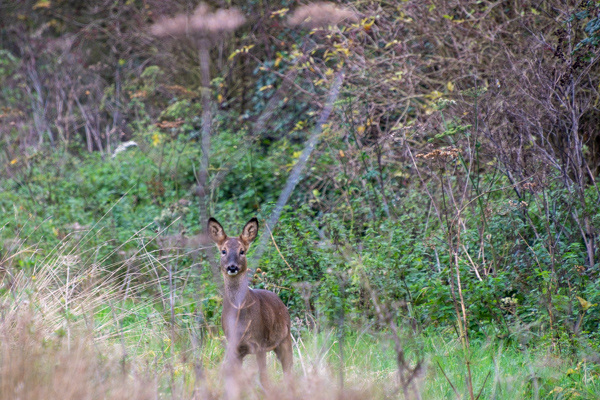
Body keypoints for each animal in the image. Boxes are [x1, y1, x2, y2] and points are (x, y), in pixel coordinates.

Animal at [206, 217, 292, 386]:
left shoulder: (260, 343)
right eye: (223, 251)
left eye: (242, 251)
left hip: (285, 338)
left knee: (289, 368)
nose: (232, 267)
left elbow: (264, 378)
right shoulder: (234, 347)